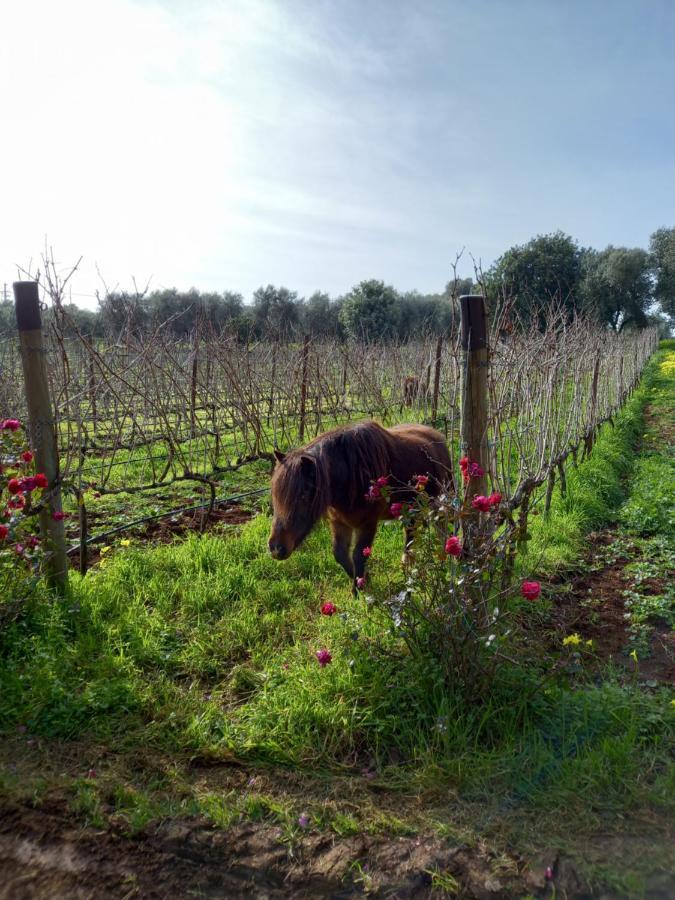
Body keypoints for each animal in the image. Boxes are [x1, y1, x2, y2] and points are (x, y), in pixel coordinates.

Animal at [270, 422, 454, 592]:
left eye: (303, 496)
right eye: (275, 495)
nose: (276, 548)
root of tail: (437, 436)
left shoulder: (367, 524)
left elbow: (358, 555)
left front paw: (359, 591)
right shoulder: (339, 523)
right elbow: (340, 554)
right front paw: (364, 580)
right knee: (411, 536)